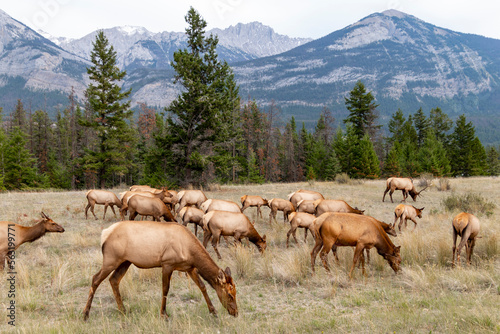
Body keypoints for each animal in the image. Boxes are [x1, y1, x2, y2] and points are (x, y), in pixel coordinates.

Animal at [82, 220, 238, 320]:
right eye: (229, 294)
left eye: (236, 292)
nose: (235, 312)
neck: (190, 251)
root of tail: (104, 234)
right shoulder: (167, 264)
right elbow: (165, 289)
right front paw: (164, 314)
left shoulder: (189, 267)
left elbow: (202, 286)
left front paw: (213, 311)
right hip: (111, 260)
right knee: (95, 279)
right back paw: (85, 313)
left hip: (125, 262)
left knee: (114, 280)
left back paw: (123, 310)